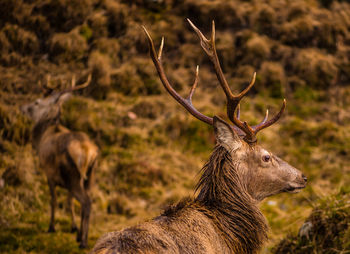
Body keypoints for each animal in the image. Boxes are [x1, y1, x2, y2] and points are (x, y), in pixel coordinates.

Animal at [20, 75, 98, 248]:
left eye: (37, 102)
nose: (22, 108)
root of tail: (87, 152)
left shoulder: (49, 173)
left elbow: (54, 200)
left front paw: (51, 227)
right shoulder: (66, 181)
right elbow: (70, 203)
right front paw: (74, 229)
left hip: (73, 176)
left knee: (86, 202)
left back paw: (84, 241)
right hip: (88, 176)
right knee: (84, 201)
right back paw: (81, 237)